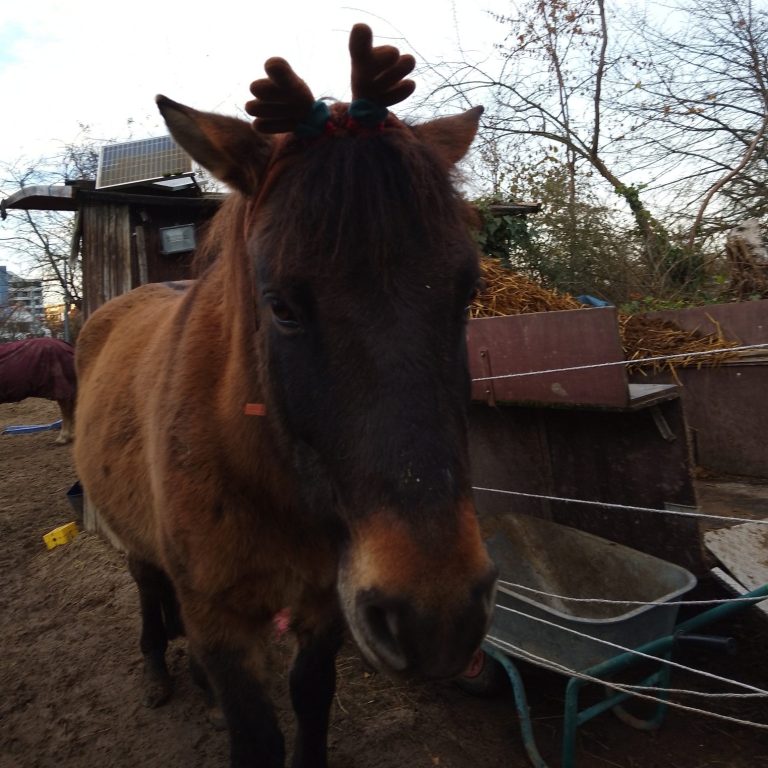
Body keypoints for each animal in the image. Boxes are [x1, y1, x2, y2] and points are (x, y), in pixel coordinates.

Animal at [73, 24, 496, 768]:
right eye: (281, 305)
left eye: (466, 293)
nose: (437, 615)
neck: (266, 475)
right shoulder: (218, 616)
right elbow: (256, 734)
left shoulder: (327, 602)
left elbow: (311, 698)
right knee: (148, 585)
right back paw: (157, 668)